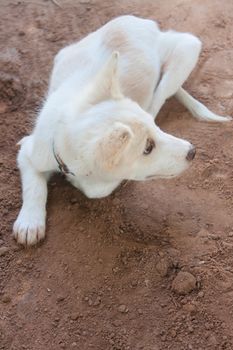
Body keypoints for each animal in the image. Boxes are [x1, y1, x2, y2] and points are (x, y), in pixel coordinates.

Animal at [13, 15, 231, 245]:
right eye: (147, 148)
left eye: (154, 131)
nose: (192, 151)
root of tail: (143, 23)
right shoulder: (29, 151)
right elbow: (34, 186)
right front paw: (29, 223)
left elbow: (96, 189)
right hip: (62, 55)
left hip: (187, 49)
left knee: (159, 96)